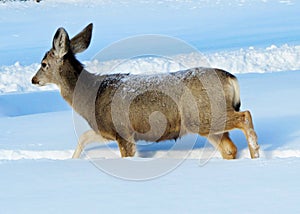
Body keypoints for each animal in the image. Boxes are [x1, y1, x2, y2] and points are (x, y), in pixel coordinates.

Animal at [31, 24, 258, 160]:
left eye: (43, 64)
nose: (33, 79)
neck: (90, 96)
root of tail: (231, 79)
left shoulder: (123, 131)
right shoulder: (105, 130)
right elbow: (84, 138)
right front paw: (72, 160)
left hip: (203, 115)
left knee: (245, 116)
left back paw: (255, 154)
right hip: (206, 122)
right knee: (230, 149)